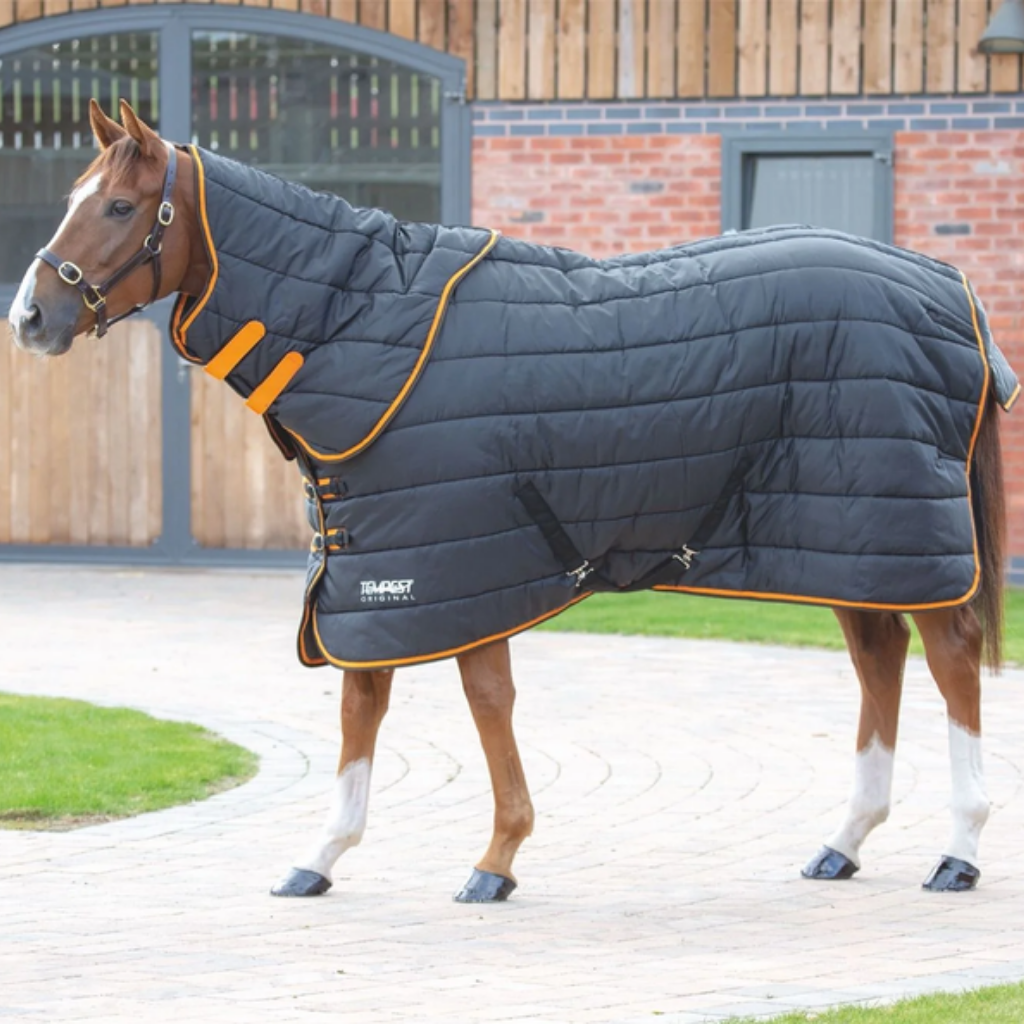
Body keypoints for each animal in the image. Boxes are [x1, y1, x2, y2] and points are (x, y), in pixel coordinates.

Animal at [7, 100, 1017, 903]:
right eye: (72, 198)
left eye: (120, 206)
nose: (30, 318)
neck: (362, 324)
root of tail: (946, 286)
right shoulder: (376, 562)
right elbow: (362, 702)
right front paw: (321, 857)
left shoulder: (456, 561)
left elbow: (480, 700)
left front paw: (495, 858)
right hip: (847, 540)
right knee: (881, 658)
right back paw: (843, 843)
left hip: (901, 530)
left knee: (951, 658)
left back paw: (959, 849)